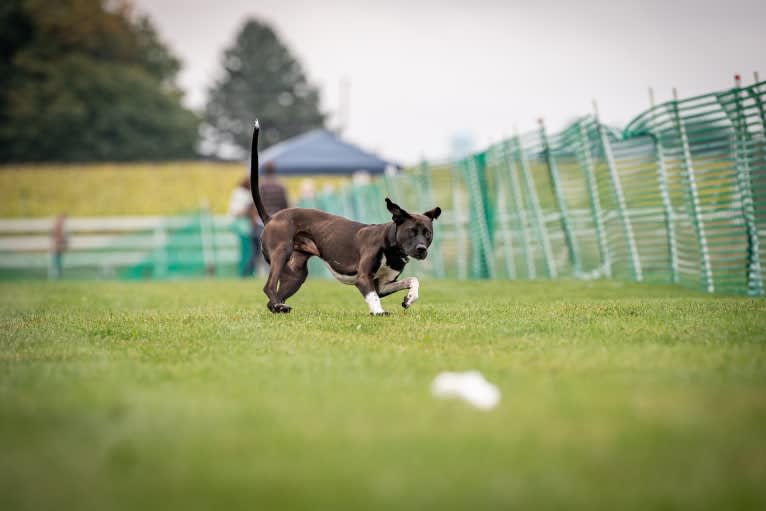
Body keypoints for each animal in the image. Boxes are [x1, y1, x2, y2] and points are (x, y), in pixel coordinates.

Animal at [250, 120, 440, 316]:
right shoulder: (363, 278)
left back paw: (279, 307)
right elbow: (373, 296)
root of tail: (271, 218)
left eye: (427, 233)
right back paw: (278, 304)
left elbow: (413, 279)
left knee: (273, 299)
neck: (390, 245)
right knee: (269, 287)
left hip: (296, 274)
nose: (421, 249)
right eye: (411, 231)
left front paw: (410, 298)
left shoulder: (383, 285)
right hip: (281, 253)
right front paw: (378, 312)